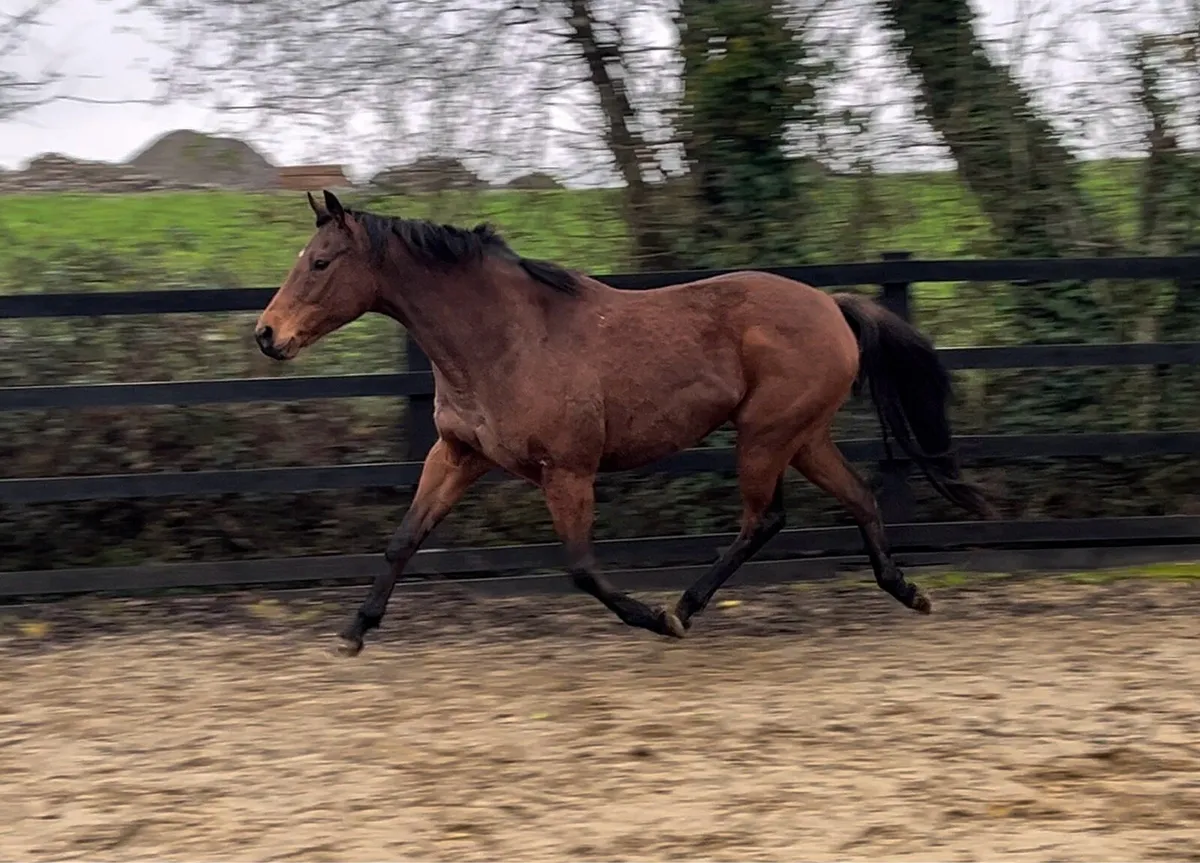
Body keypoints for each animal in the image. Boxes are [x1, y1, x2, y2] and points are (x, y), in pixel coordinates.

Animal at [255, 190, 993, 656]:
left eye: (320, 262)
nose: (267, 335)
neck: (504, 338)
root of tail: (831, 304)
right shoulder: (458, 454)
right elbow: (403, 539)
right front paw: (354, 629)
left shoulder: (568, 472)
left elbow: (582, 568)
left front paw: (651, 617)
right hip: (802, 436)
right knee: (855, 498)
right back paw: (908, 592)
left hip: (766, 436)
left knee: (764, 519)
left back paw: (683, 610)